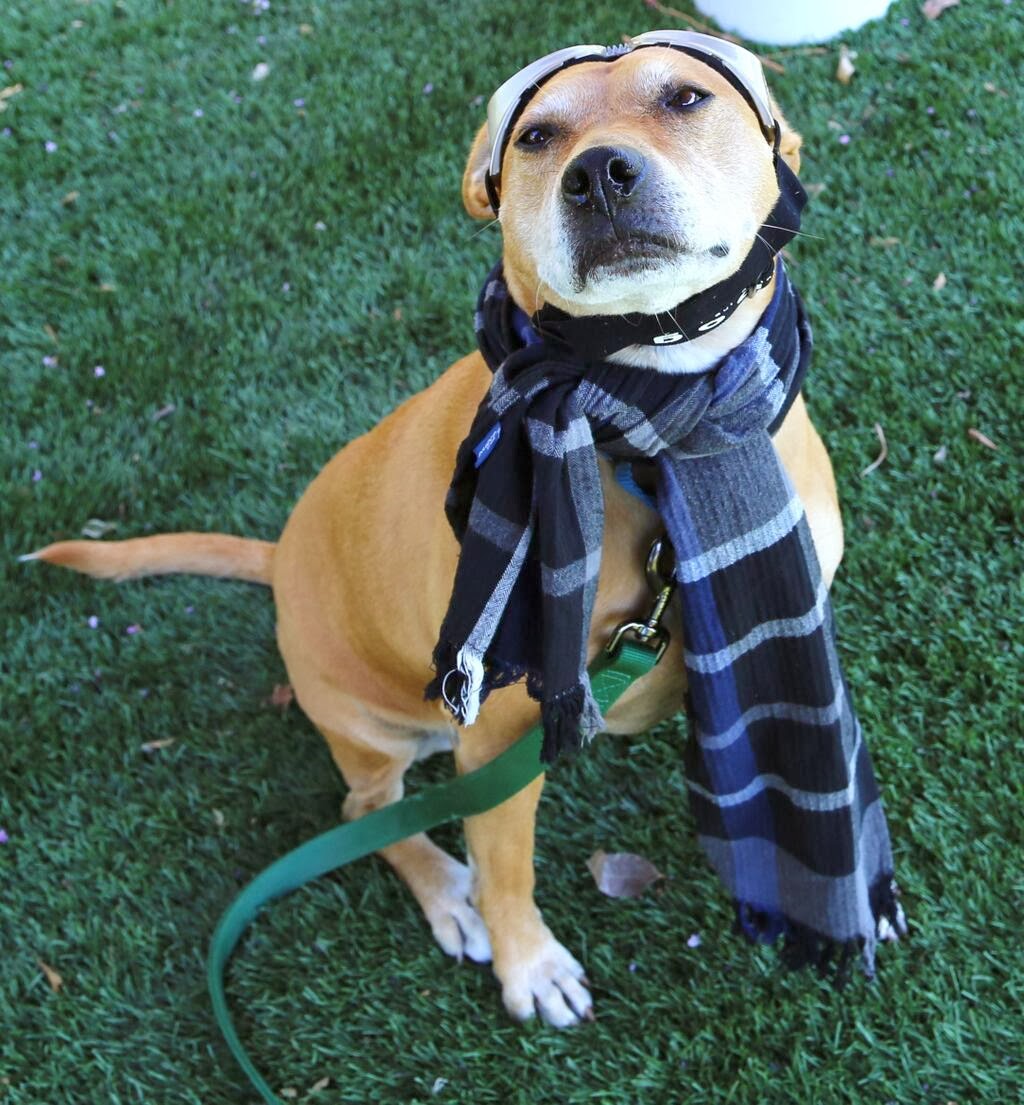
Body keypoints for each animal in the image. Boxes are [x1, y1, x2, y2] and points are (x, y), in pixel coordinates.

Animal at [26, 36, 843, 1028]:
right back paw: (447, 893)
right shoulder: (492, 740)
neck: (660, 435)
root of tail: (281, 557)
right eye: (537, 136)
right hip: (373, 728)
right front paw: (528, 963)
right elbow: (506, 867)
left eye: (686, 97)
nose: (598, 175)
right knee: (366, 814)